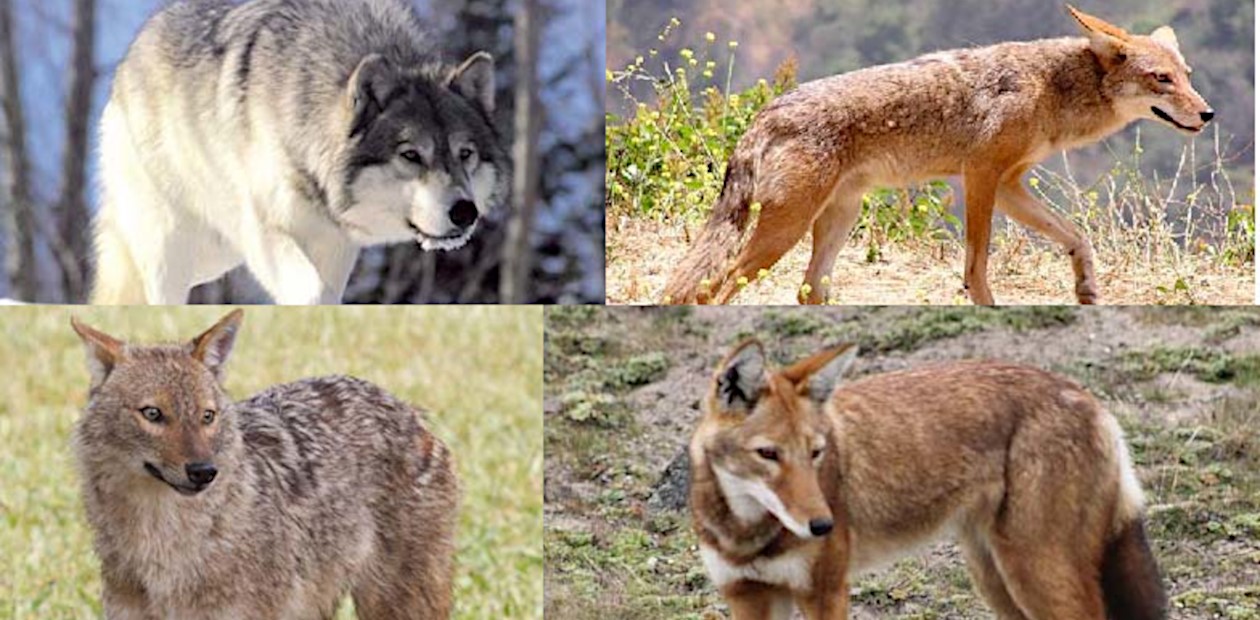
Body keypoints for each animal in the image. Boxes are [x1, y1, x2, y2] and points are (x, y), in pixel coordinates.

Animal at [92, 0, 510, 305]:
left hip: (214, 256)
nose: (465, 212)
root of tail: (129, 58)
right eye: (411, 155)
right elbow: (311, 292)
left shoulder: (336, 245)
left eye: (465, 154)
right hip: (173, 248)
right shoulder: (264, 230)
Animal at [663, 5, 1213, 305]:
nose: (1208, 114)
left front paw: (1086, 289)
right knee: (712, 288)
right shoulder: (981, 176)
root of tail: (766, 113)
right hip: (785, 231)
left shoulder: (1010, 185)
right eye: (1161, 79)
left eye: (1186, 75)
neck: (1052, 88)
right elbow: (977, 265)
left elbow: (1077, 237)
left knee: (808, 289)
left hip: (835, 222)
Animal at [690, 340, 1166, 619]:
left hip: (1034, 575)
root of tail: (1090, 399)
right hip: (996, 580)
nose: (823, 526)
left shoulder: (825, 593)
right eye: (768, 455)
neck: (746, 533)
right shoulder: (748, 596)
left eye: (816, 453)